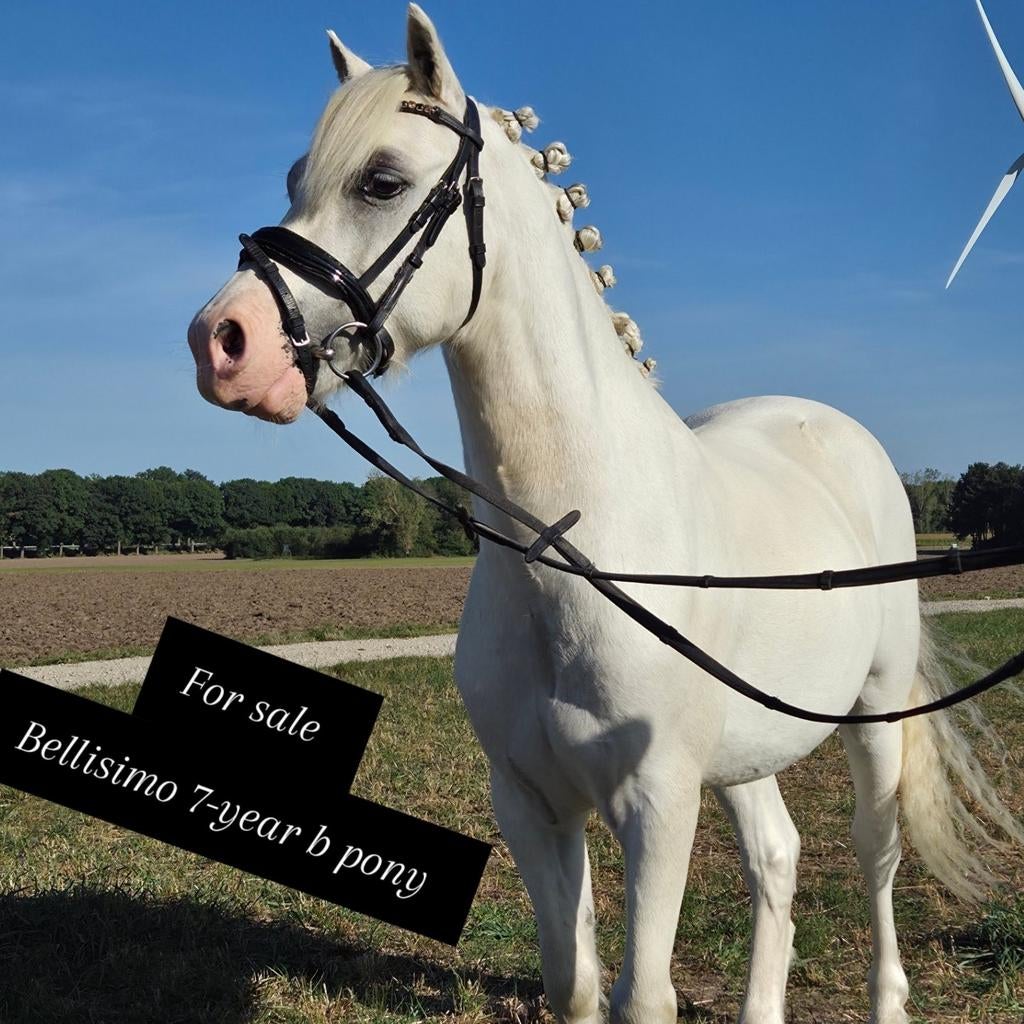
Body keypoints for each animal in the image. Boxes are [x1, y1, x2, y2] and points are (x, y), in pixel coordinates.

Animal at [187, 7, 1022, 1022]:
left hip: (875, 713)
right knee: (776, 857)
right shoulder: (533, 803)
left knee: (877, 849)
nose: (221, 342)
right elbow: (575, 983)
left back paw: (887, 994)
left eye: (381, 180)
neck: (572, 550)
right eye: (294, 180)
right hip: (748, 748)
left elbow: (642, 996)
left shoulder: (657, 807)